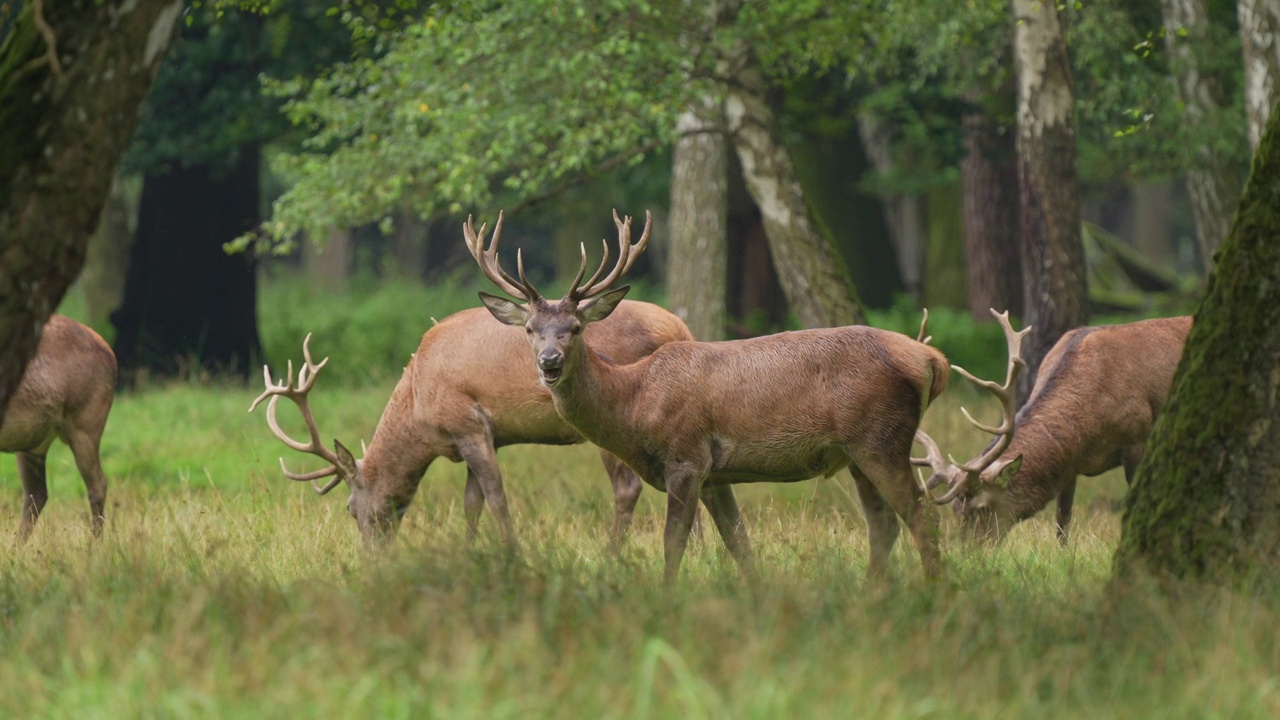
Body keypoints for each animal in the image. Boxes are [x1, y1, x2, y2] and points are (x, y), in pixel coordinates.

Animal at [0, 313, 116, 538]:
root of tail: (109, 350)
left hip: (85, 423)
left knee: (99, 483)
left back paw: (94, 544)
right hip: (32, 441)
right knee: (37, 493)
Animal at [245, 233, 696, 545]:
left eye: (351, 508)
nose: (370, 555)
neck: (419, 404)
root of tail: (680, 328)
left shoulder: (467, 423)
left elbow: (495, 499)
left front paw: (511, 553)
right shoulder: (486, 435)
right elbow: (471, 504)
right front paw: (469, 553)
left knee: (628, 487)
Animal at [471, 210, 952, 579]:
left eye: (575, 327)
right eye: (530, 329)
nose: (549, 362)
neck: (634, 404)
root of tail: (932, 360)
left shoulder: (686, 456)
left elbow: (673, 544)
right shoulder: (717, 474)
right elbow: (739, 543)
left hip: (881, 438)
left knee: (922, 515)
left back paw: (933, 593)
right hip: (856, 452)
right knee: (884, 527)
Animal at [911, 311, 1187, 540]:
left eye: (981, 508)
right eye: (955, 510)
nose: (968, 552)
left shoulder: (1137, 440)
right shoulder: (1070, 466)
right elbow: (1062, 521)